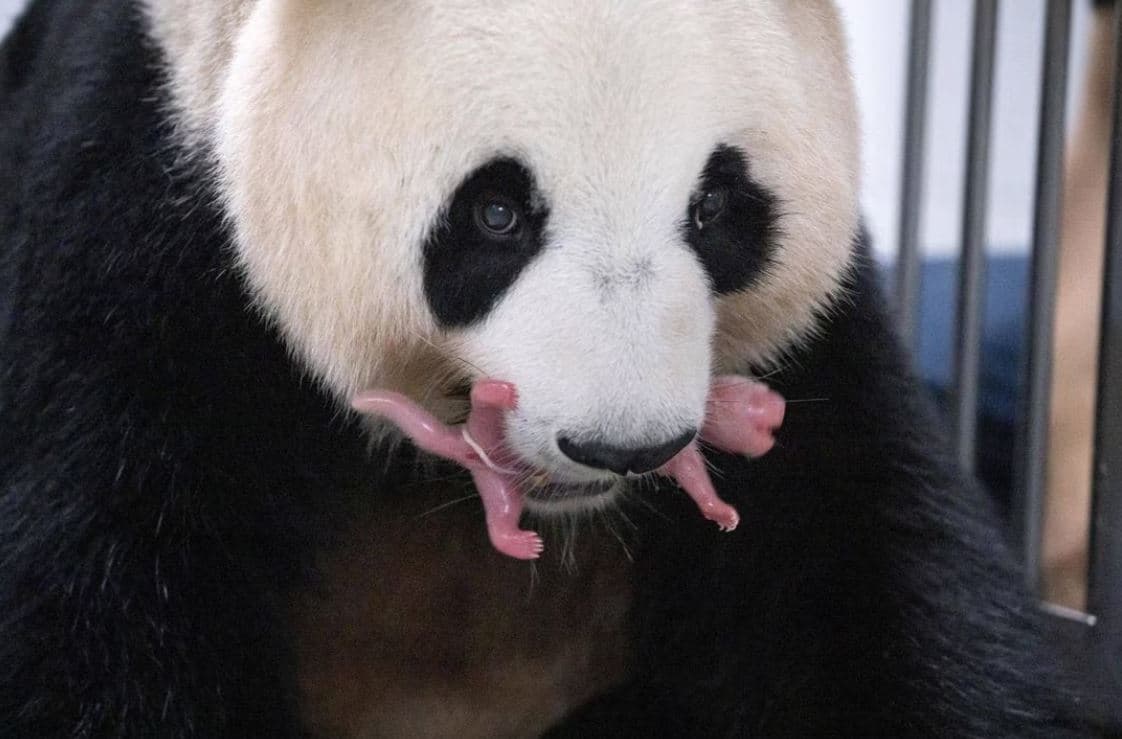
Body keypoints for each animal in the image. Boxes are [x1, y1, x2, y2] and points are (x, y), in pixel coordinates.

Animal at [0, 0, 1094, 737]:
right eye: (496, 213)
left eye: (716, 207)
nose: (627, 444)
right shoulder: (134, 233)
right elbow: (98, 602)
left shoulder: (806, 363)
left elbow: (872, 571)